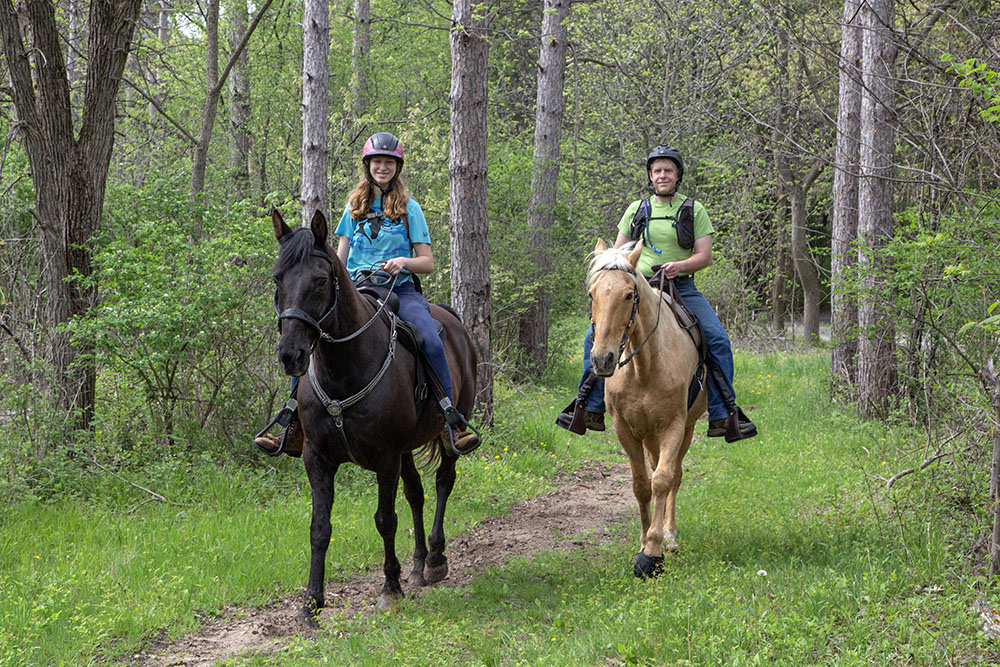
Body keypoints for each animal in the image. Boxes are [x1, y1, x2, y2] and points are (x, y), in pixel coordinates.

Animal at [272, 210, 478, 620]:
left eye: (320, 281)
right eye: (277, 279)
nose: (291, 355)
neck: (345, 369)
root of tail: (454, 320)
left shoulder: (385, 457)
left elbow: (385, 520)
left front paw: (390, 590)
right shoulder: (317, 457)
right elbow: (319, 526)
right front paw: (311, 603)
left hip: (447, 433)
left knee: (443, 481)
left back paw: (435, 559)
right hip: (406, 449)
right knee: (416, 493)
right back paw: (418, 564)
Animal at [584, 241, 704, 580]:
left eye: (629, 295)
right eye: (592, 294)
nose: (603, 359)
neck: (643, 368)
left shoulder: (673, 426)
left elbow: (662, 480)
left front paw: (653, 551)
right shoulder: (625, 430)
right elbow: (641, 485)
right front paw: (642, 539)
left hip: (686, 429)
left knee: (675, 475)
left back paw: (670, 535)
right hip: (650, 436)